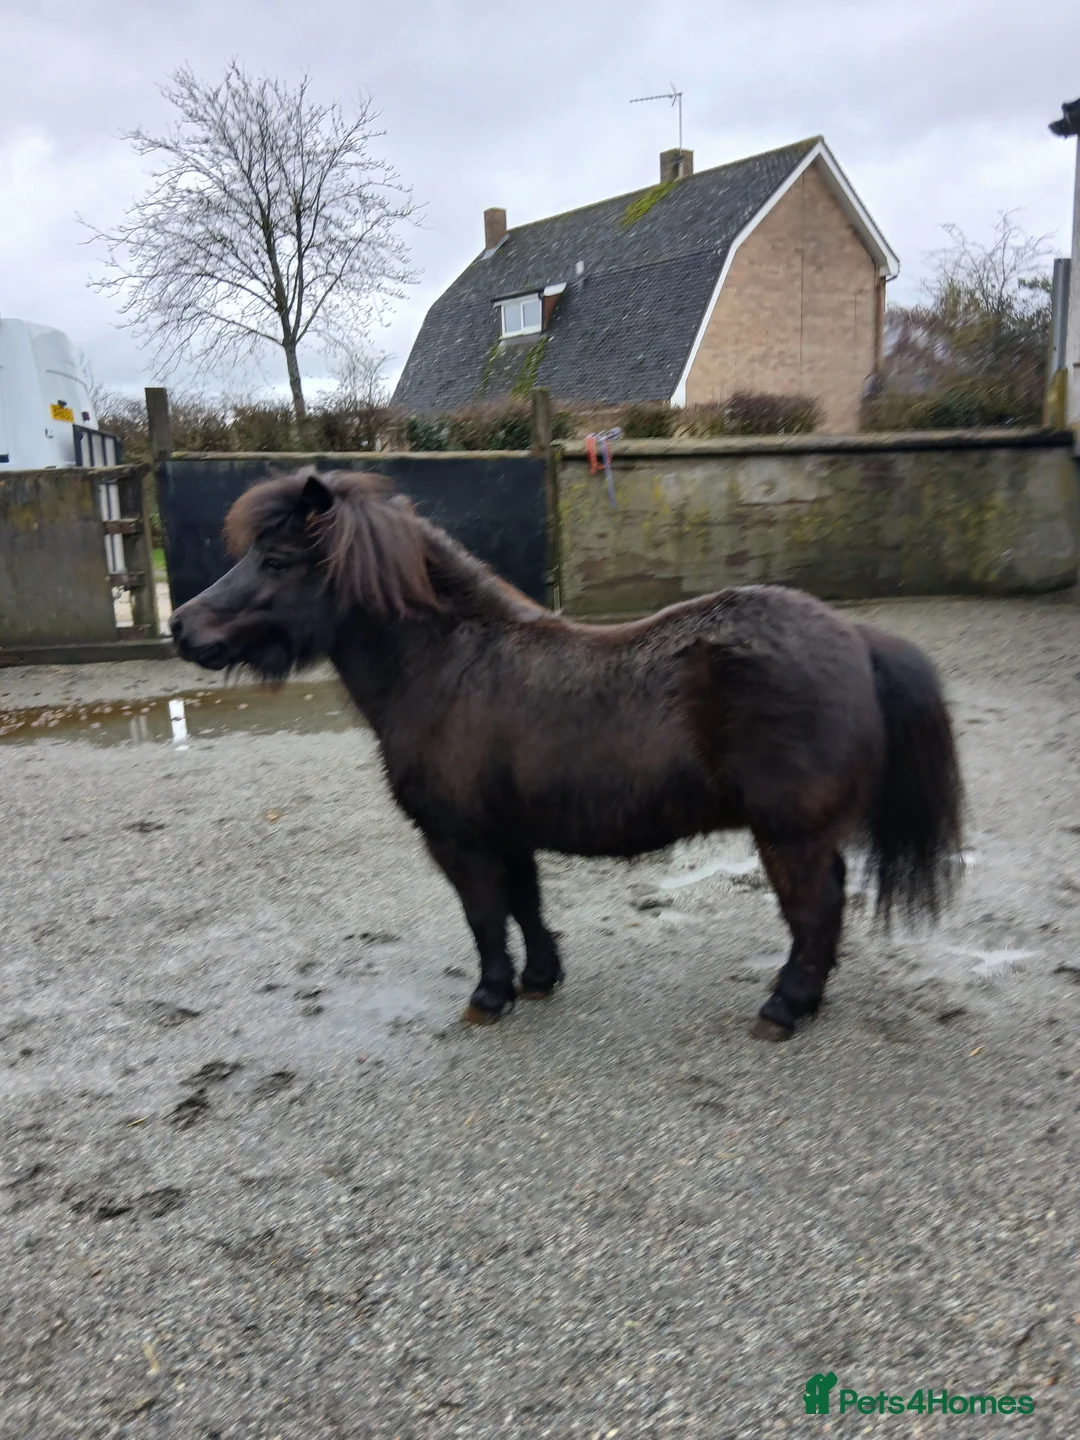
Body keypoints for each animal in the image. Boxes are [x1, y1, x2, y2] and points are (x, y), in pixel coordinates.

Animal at [169, 468, 962, 1041]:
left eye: (276, 559)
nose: (181, 627)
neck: (446, 663)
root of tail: (854, 635)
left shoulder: (458, 838)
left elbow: (484, 916)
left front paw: (489, 997)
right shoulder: (505, 832)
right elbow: (524, 905)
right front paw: (539, 979)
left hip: (788, 834)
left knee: (815, 911)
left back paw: (784, 1009)